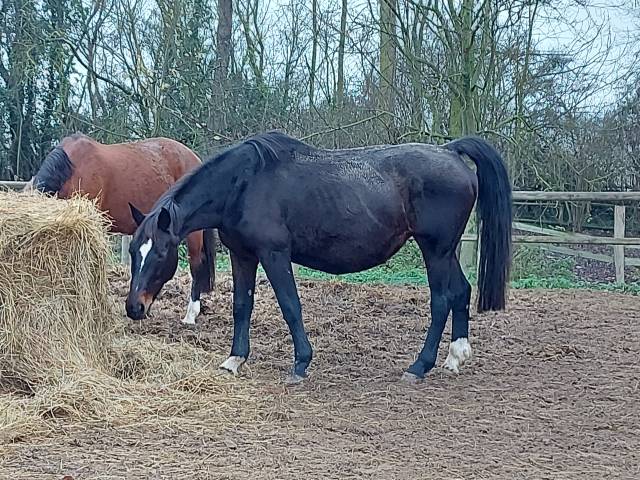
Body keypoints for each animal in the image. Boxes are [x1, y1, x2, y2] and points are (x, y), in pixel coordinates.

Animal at [127, 130, 512, 382]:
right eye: (133, 250)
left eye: (160, 252)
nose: (134, 308)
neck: (243, 184)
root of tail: (451, 152)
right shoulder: (242, 255)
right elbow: (242, 306)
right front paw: (235, 359)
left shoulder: (274, 254)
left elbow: (290, 306)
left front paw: (301, 363)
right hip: (445, 252)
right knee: (461, 292)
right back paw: (455, 356)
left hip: (436, 249)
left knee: (442, 299)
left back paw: (420, 366)